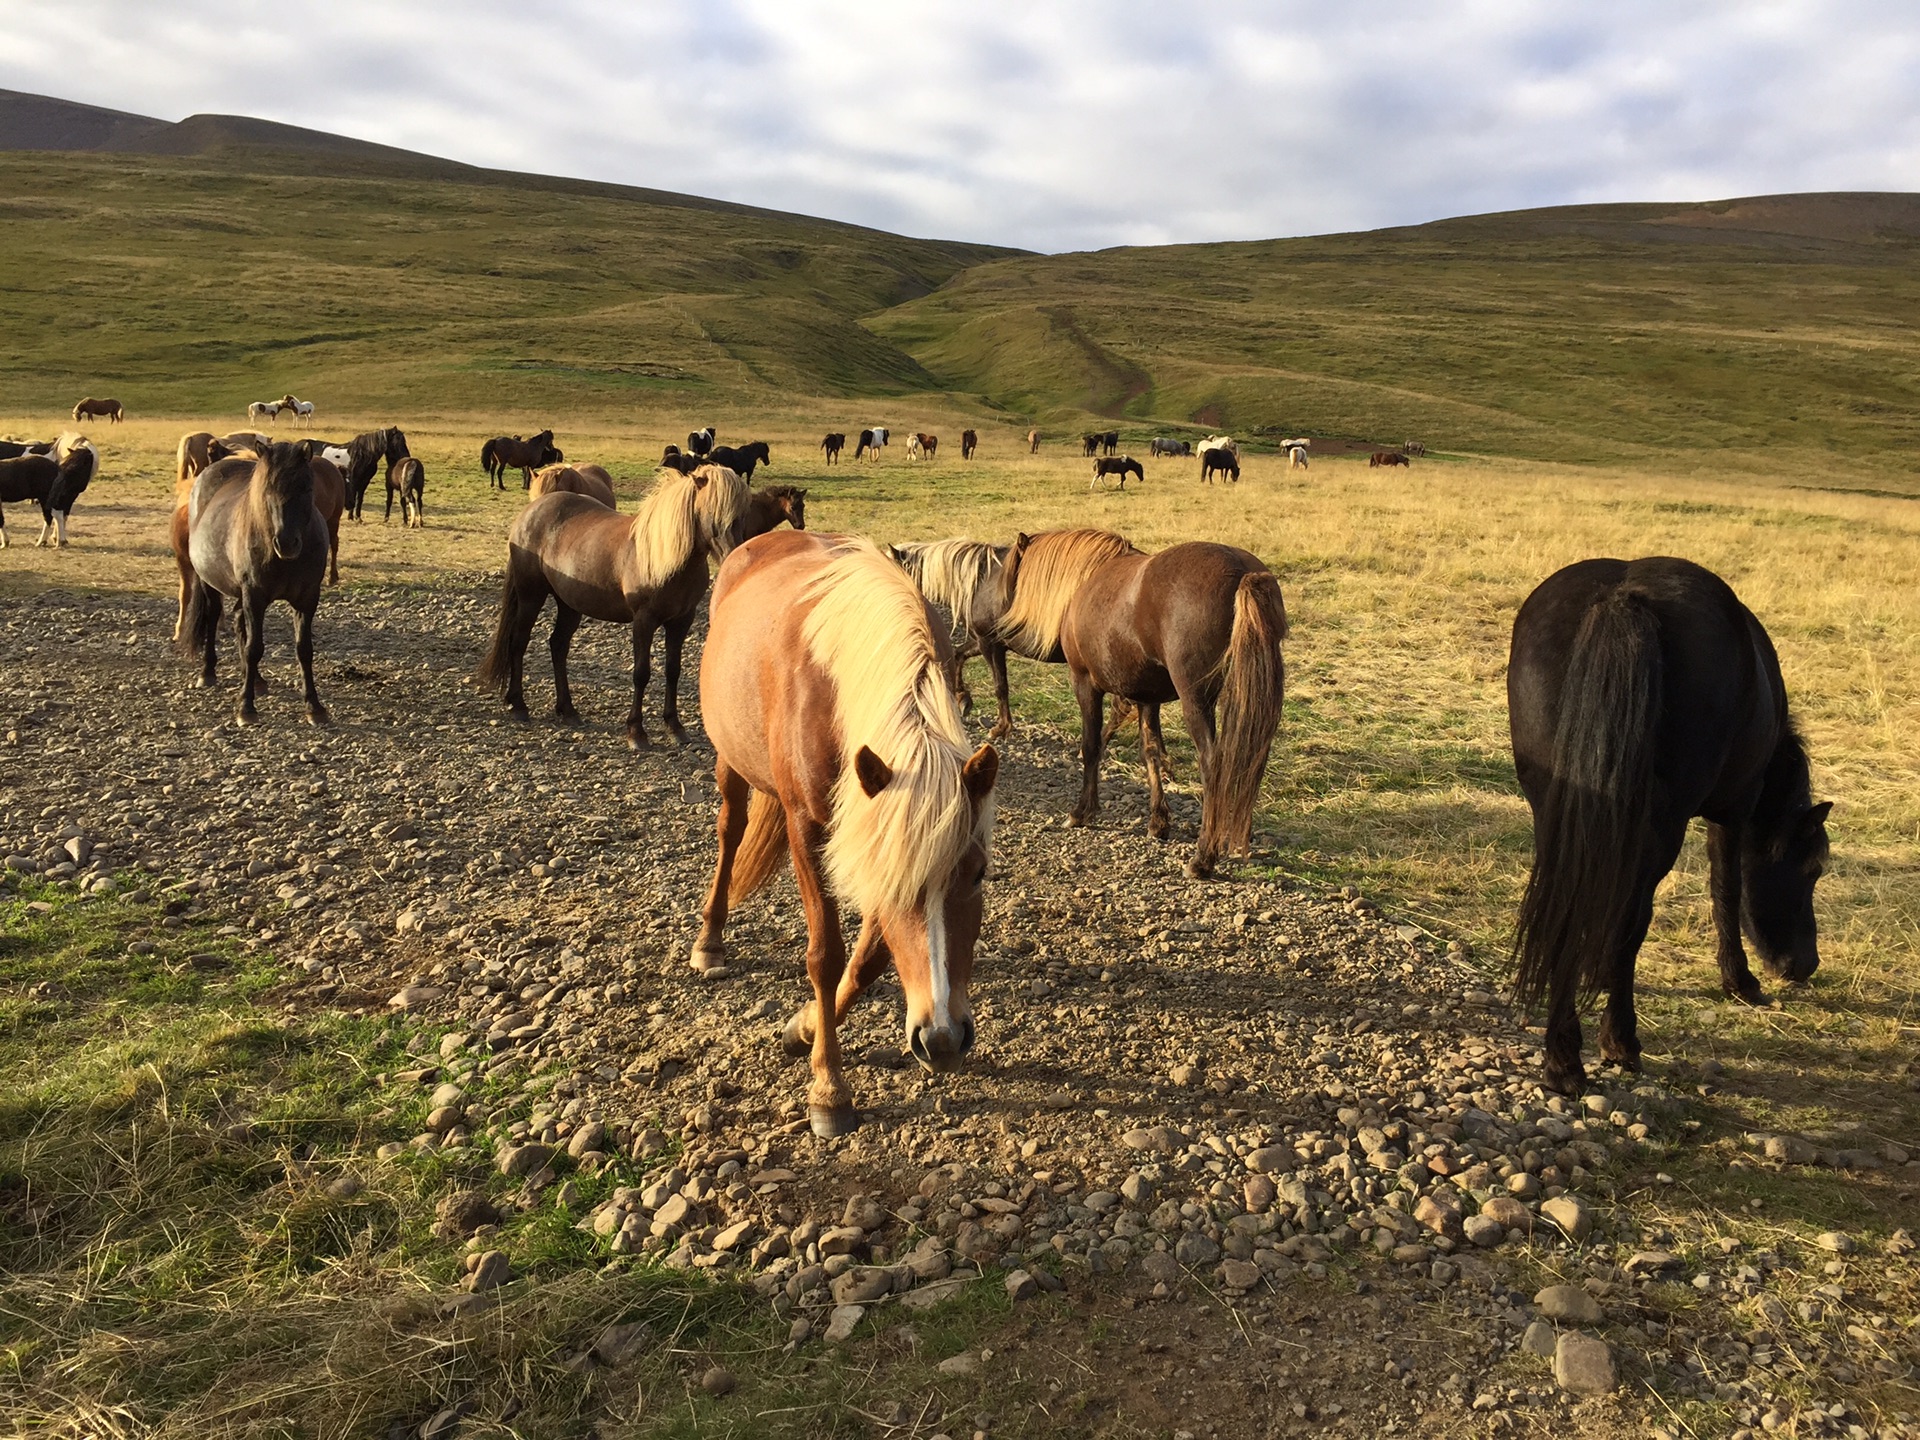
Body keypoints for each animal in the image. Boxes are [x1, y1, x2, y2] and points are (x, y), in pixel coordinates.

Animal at [179, 439, 330, 725]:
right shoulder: (255, 597)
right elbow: (254, 648)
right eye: (268, 489)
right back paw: (208, 672)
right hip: (212, 584)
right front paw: (246, 708)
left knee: (239, 623)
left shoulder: (307, 599)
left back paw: (256, 680)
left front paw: (314, 706)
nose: (287, 543)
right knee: (214, 618)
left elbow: (304, 649)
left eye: (306, 488)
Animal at [476, 464, 744, 756]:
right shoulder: (644, 620)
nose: (734, 556)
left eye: (741, 512)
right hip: (530, 595)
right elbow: (641, 673)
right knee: (519, 641)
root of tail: (530, 512)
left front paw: (675, 727)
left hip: (569, 604)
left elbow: (673, 670)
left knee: (558, 646)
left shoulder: (681, 621)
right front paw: (636, 732)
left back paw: (568, 710)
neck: (662, 558)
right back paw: (518, 705)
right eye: (713, 514)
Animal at [687, 529, 998, 1136]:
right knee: (730, 830)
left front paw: (806, 1025)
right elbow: (825, 955)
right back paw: (710, 938)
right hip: (729, 758)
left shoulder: (874, 828)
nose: (943, 1039)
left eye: (978, 874)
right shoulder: (809, 829)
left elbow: (871, 957)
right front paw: (828, 1088)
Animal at [1505, 560, 1835, 1090]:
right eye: (1812, 870)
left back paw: (1562, 1057)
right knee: (1630, 919)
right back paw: (1614, 1043)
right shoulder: (1735, 808)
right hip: (1660, 827)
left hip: (1557, 813)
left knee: (1567, 903)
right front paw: (1740, 981)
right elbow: (1726, 888)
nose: (1804, 965)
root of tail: (1622, 600)